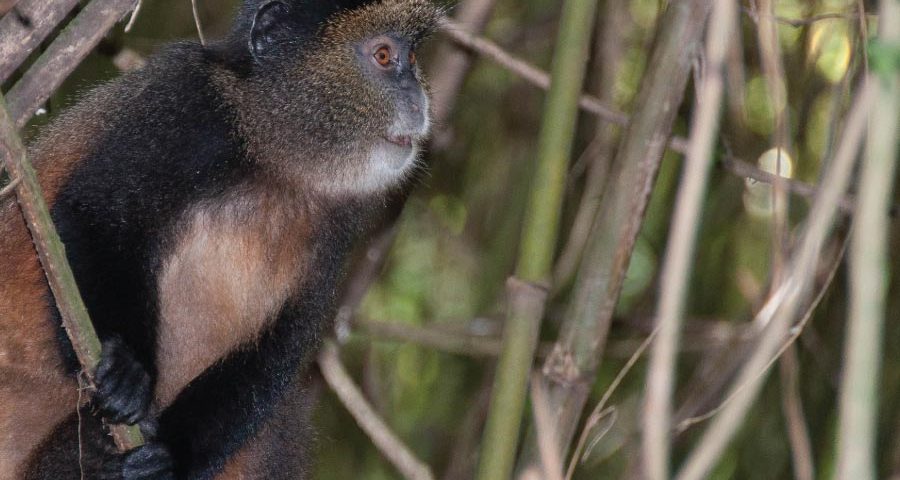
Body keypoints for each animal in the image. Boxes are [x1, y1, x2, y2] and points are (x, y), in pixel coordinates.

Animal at [0, 0, 441, 478]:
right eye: (383, 56)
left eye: (412, 58)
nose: (418, 98)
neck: (274, 157)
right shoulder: (185, 108)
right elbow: (90, 212)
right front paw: (126, 370)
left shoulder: (339, 223)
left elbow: (282, 341)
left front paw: (174, 457)